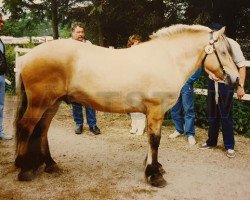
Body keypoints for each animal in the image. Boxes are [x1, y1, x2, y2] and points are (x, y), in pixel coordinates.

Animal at [14, 24, 239, 188]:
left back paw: (50, 165)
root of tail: (26, 57)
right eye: (222, 52)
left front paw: (153, 167)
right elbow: (155, 140)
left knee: (42, 130)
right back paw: (25, 170)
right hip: (39, 103)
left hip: (52, 103)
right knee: (26, 127)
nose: (236, 79)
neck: (167, 59)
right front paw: (154, 175)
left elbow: (150, 141)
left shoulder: (151, 112)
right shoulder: (156, 110)